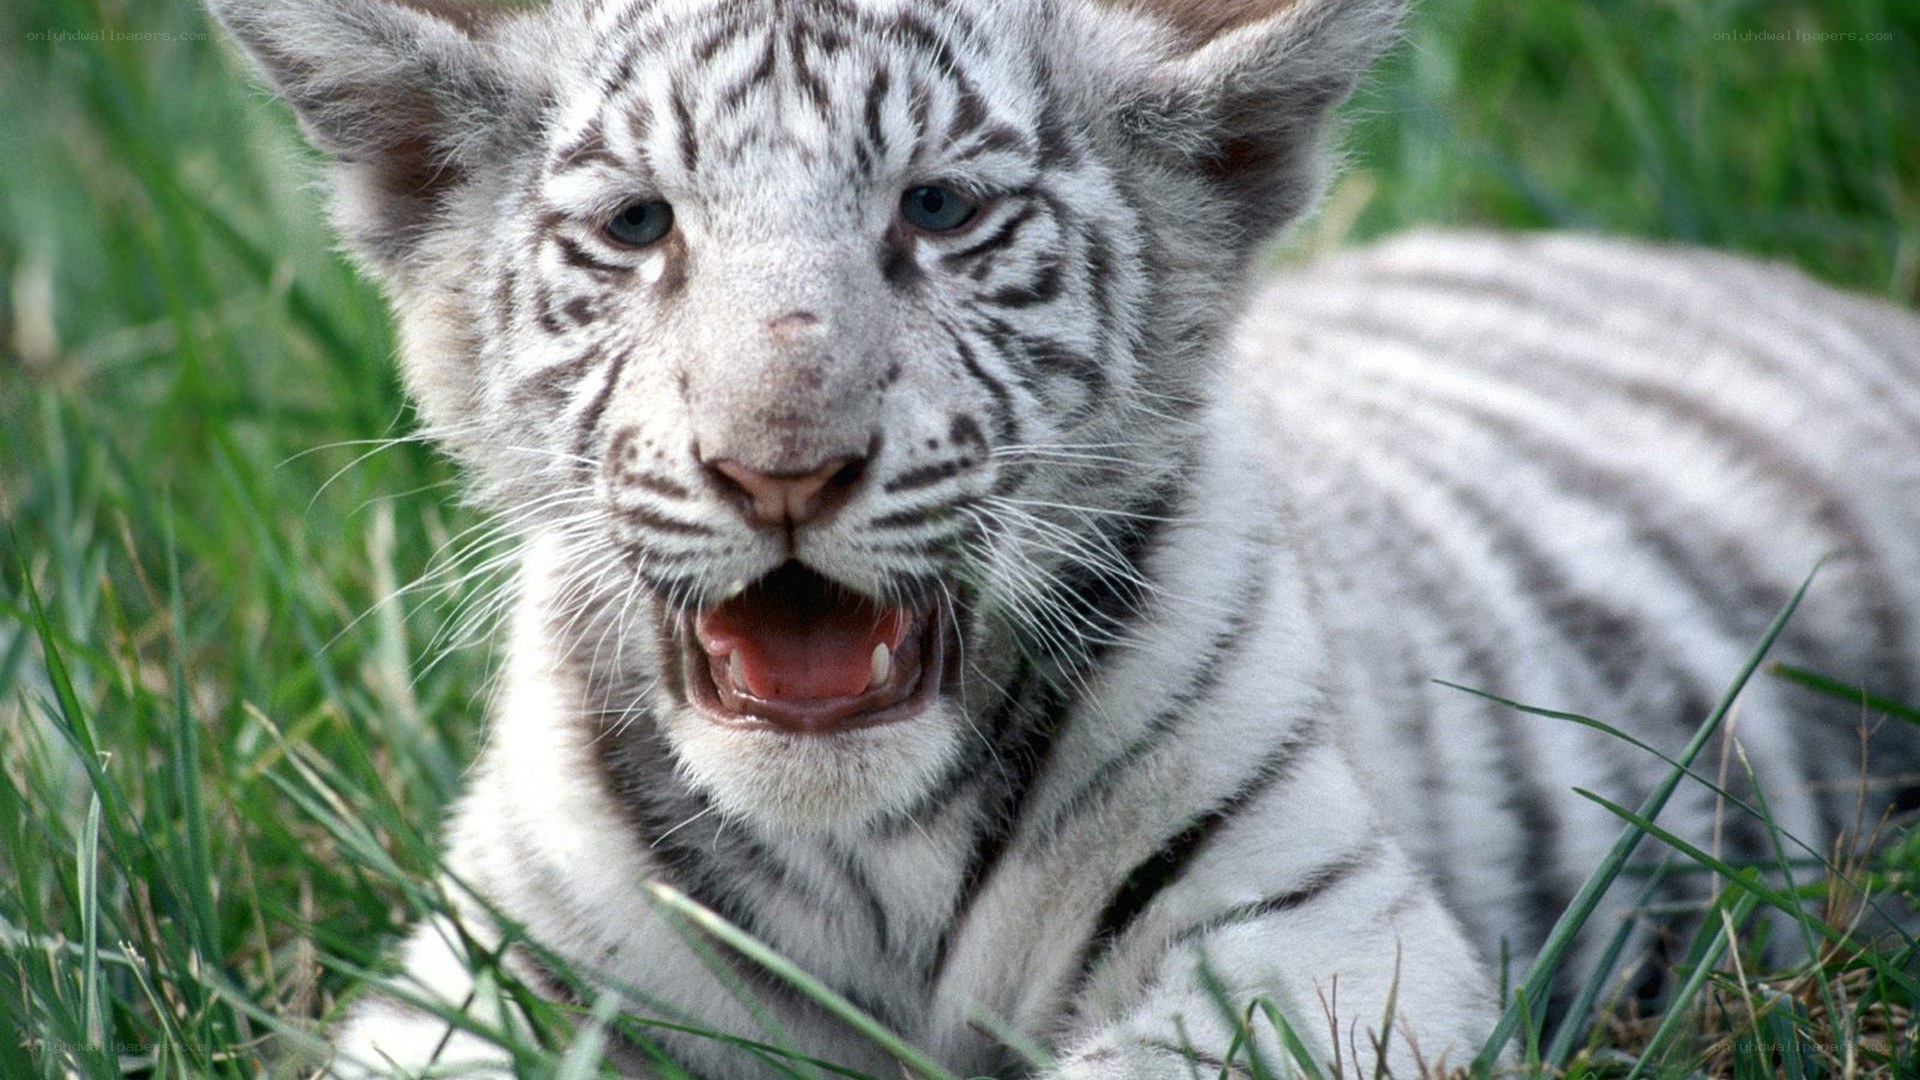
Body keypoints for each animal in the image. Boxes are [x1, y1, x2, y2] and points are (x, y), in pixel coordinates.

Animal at [208, 0, 1920, 1075]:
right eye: (640, 227)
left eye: (941, 211)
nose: (781, 470)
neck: (865, 856)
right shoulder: (491, 980)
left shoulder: (1328, 939)